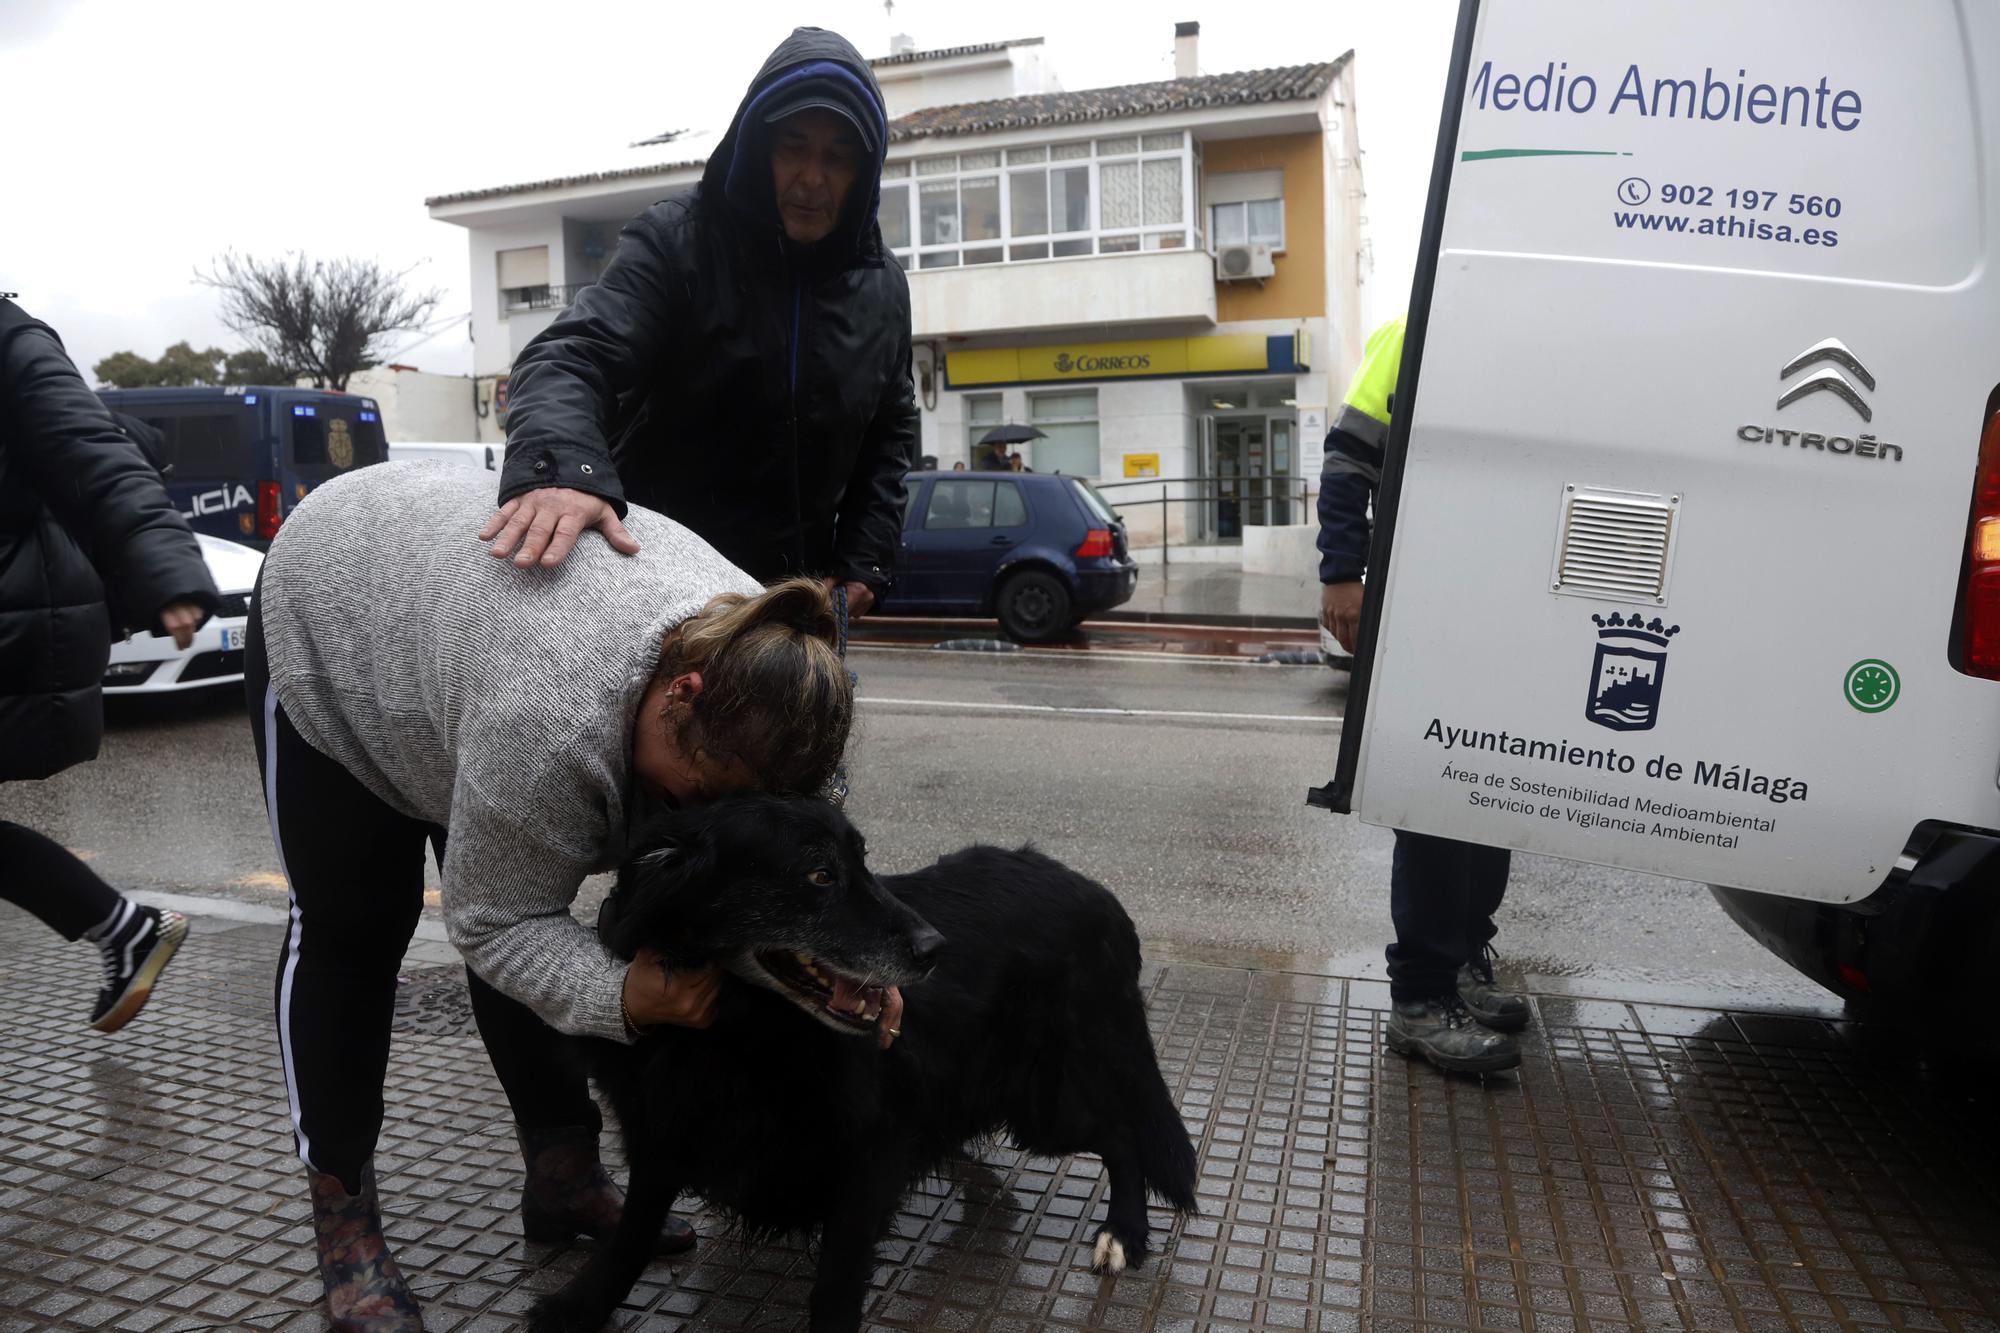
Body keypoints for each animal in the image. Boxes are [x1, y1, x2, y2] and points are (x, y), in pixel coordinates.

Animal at [524, 792, 1192, 1320]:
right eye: (820, 875)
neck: (741, 1037)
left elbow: (836, 1287)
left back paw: (1124, 1232)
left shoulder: (867, 1164)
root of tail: (1095, 892)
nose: (935, 949)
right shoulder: (660, 1133)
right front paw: (579, 1307)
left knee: (1120, 1131)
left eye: (864, 863)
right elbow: (631, 1234)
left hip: (1040, 1100)